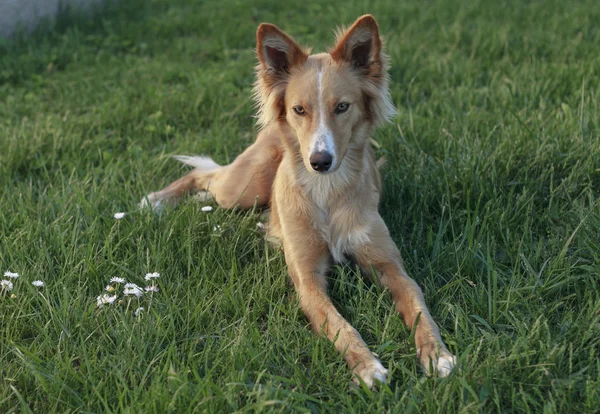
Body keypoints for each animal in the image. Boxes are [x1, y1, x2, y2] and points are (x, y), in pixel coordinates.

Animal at [142, 13, 454, 388]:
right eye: (299, 109)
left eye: (342, 107)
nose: (319, 161)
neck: (327, 191)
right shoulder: (307, 280)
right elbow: (339, 326)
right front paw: (367, 366)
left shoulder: (390, 266)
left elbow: (419, 307)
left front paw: (436, 354)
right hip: (241, 189)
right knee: (204, 175)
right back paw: (158, 201)